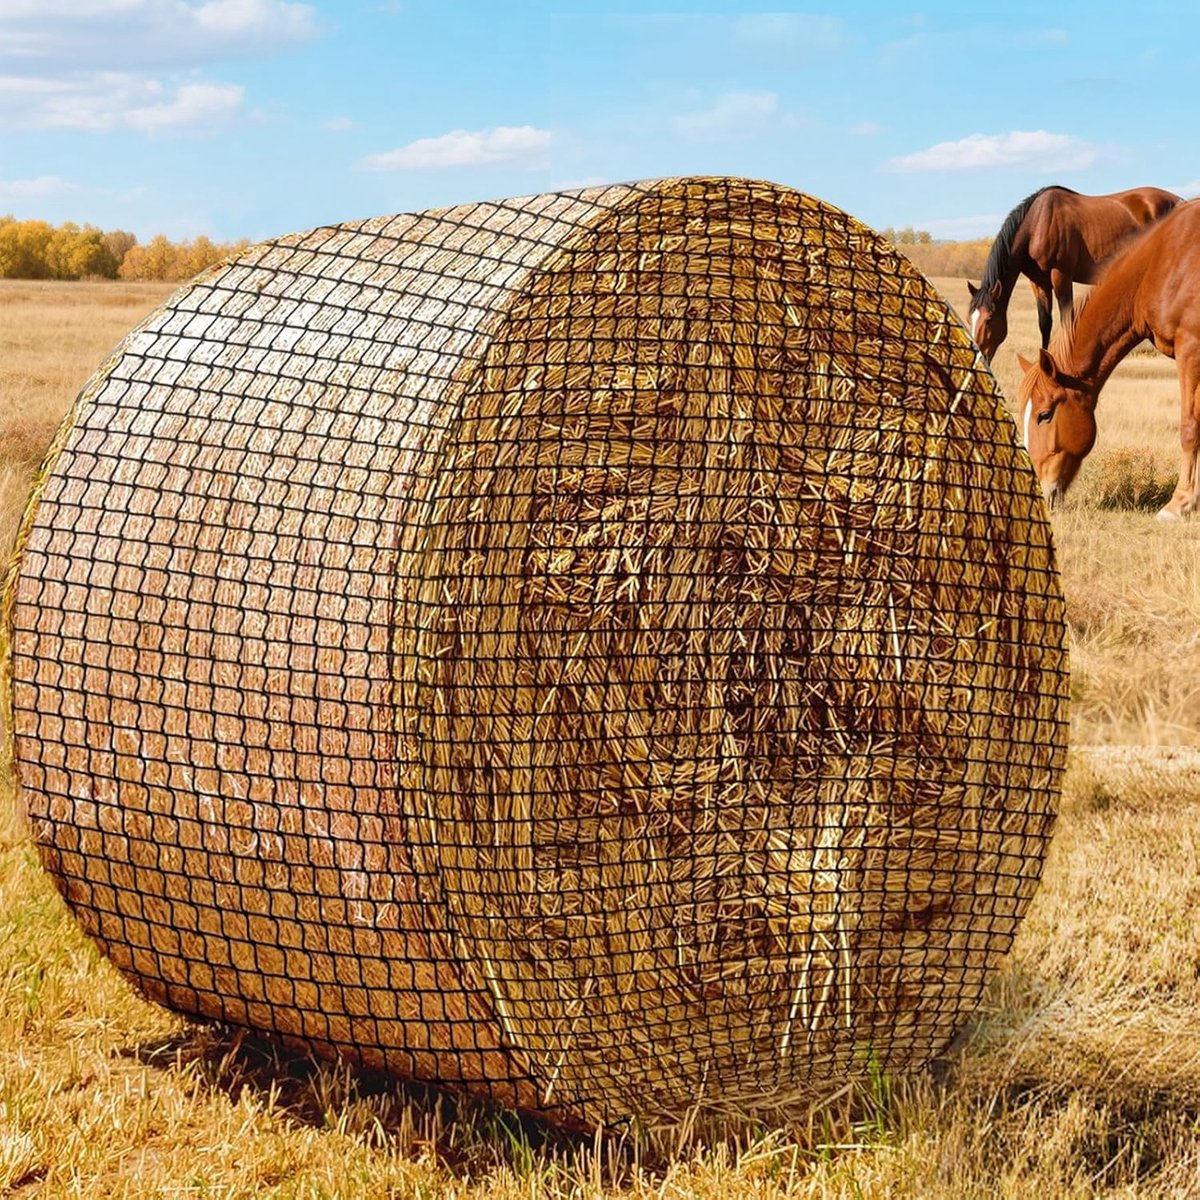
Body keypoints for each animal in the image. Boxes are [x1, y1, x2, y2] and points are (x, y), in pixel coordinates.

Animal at [967, 185, 1181, 361]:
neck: (1037, 224)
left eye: (989, 319)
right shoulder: (1039, 282)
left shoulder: (1061, 275)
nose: (978, 357)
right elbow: (1045, 323)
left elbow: (1066, 319)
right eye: (970, 318)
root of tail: (1179, 201)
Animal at [1017, 198, 1200, 519]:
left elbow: (1190, 427)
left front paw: (1179, 504)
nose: (1038, 491)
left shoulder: (1190, 350)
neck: (1163, 264)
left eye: (1045, 415)